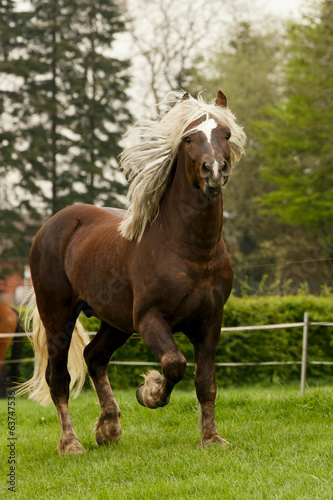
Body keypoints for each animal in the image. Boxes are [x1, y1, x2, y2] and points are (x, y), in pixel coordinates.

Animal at [18, 90, 246, 454]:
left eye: (225, 134)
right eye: (189, 138)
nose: (214, 171)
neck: (191, 250)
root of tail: (52, 224)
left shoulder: (211, 322)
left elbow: (205, 382)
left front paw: (211, 438)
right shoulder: (149, 319)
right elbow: (174, 364)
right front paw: (149, 392)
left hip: (115, 321)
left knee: (95, 357)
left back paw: (109, 428)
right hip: (58, 315)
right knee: (59, 378)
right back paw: (72, 443)